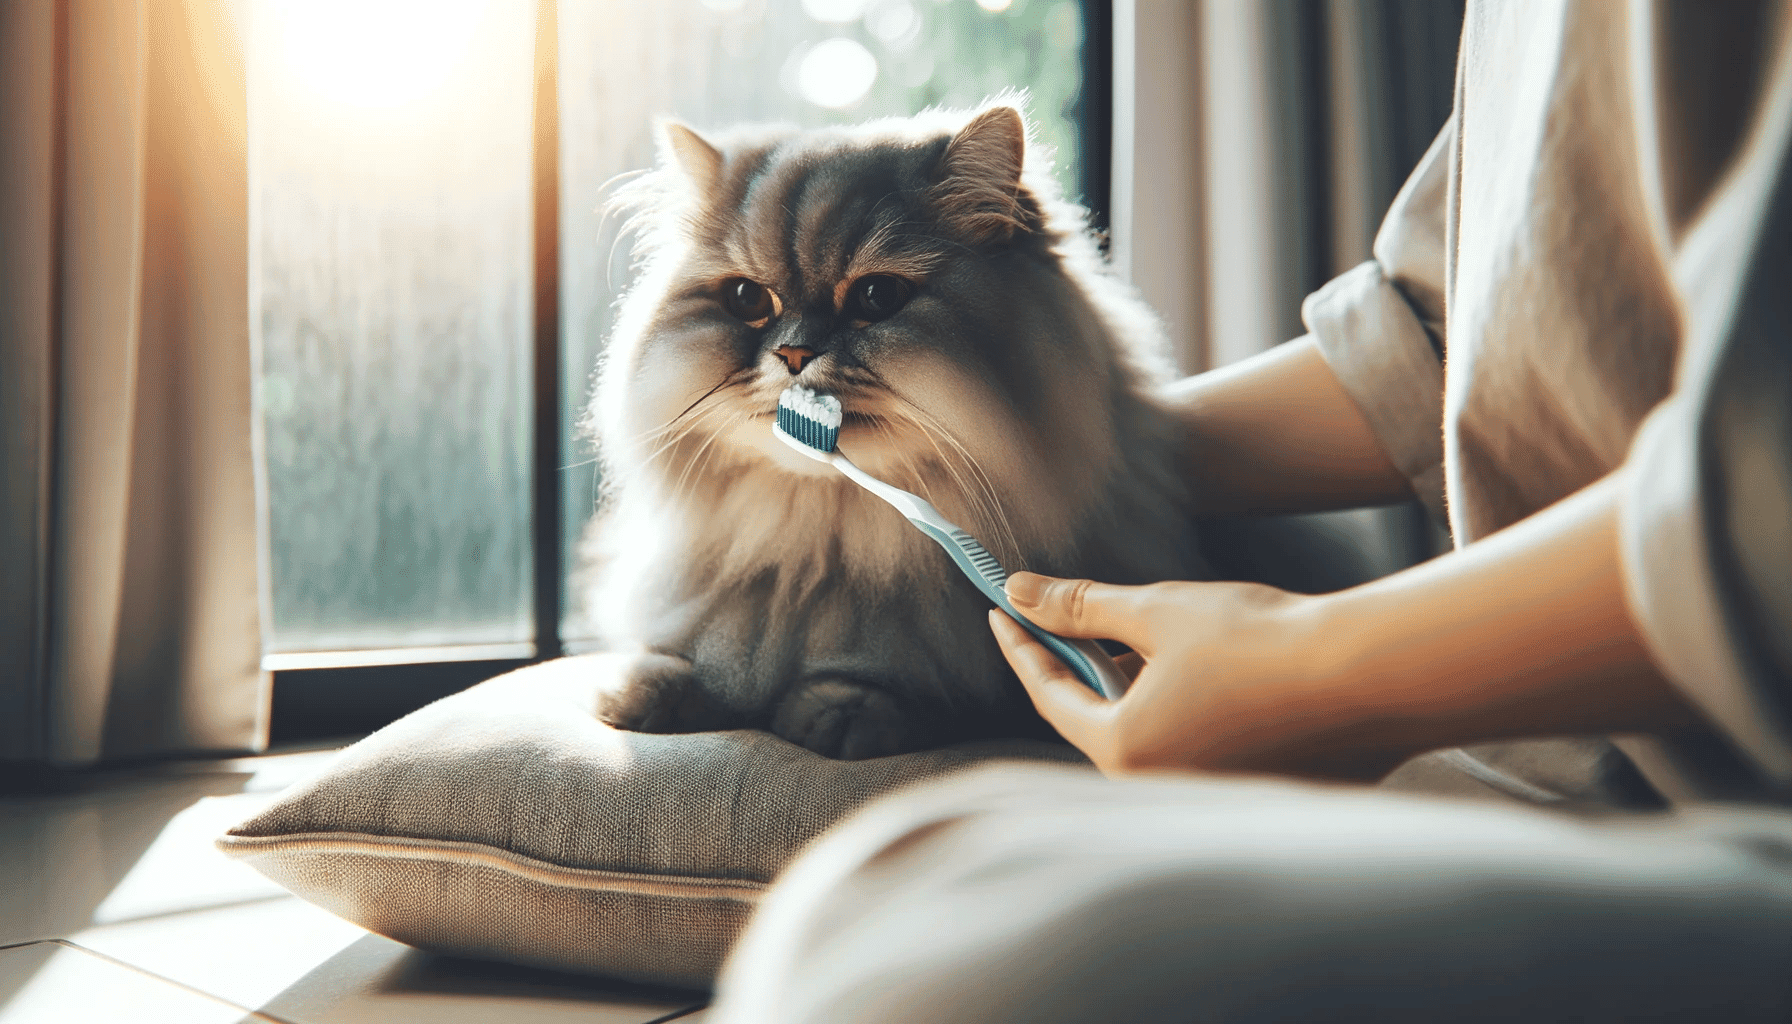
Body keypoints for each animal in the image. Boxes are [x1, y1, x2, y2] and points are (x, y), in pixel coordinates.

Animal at [580, 102, 1211, 760]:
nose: (794, 354)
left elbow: (901, 691)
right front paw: (642, 693)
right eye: (747, 299)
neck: (823, 555)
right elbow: (676, 661)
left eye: (876, 296)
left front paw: (844, 710)